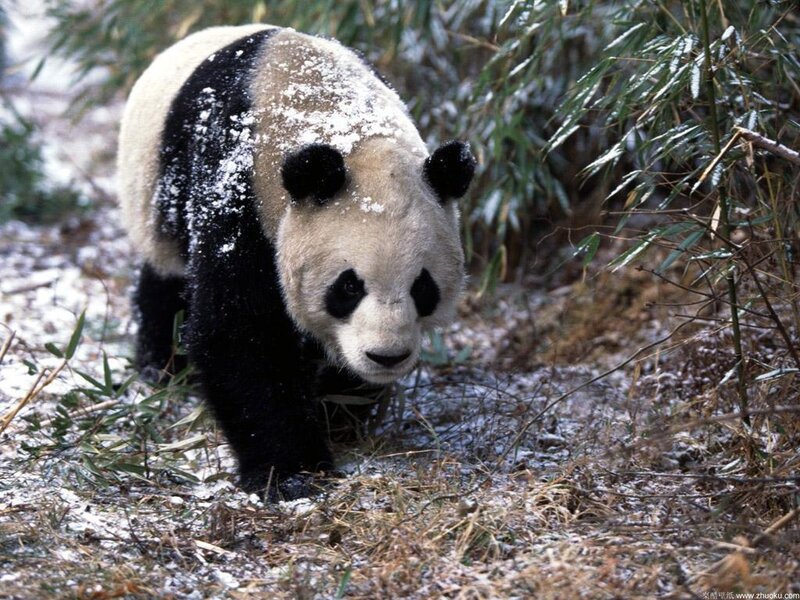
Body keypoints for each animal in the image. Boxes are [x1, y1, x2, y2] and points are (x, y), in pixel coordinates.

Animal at [118, 25, 476, 498]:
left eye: (423, 287)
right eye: (348, 287)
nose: (387, 356)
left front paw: (338, 412)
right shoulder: (237, 189)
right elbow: (240, 332)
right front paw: (292, 472)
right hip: (157, 196)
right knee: (166, 280)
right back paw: (164, 366)